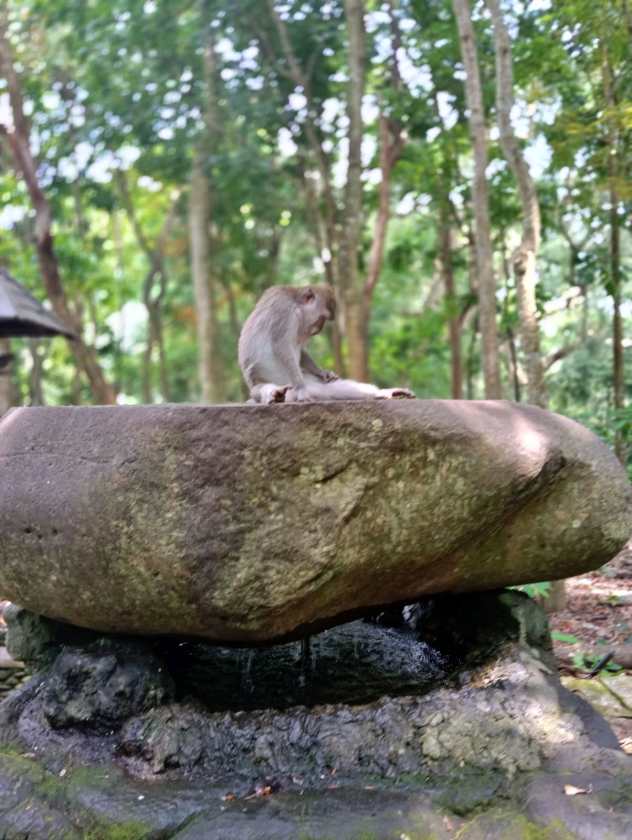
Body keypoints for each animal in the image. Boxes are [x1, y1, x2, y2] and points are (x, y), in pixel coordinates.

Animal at [238, 284, 415, 404]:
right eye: (322, 318)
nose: (318, 329)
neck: (295, 302)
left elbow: (300, 349)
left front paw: (322, 372)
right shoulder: (283, 310)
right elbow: (282, 346)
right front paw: (301, 390)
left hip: (312, 383)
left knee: (334, 389)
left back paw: (383, 392)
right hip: (264, 386)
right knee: (262, 389)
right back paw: (275, 393)